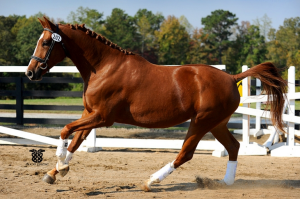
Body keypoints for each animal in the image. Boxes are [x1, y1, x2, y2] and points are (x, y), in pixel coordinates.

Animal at [25, 17, 286, 191]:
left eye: (46, 43)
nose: (30, 72)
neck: (104, 67)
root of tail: (232, 77)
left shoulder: (102, 117)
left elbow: (65, 130)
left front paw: (59, 162)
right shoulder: (89, 113)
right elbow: (75, 141)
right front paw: (55, 172)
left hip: (202, 122)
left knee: (186, 153)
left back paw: (152, 181)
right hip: (217, 124)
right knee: (233, 147)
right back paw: (225, 182)